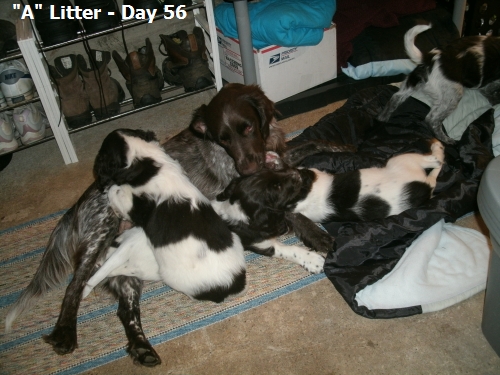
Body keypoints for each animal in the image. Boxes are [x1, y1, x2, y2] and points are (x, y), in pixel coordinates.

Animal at [217, 140, 444, 245]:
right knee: (436, 160)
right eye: (276, 188)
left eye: (266, 176)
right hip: (403, 161)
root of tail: (424, 187)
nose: (263, 156)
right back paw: (436, 145)